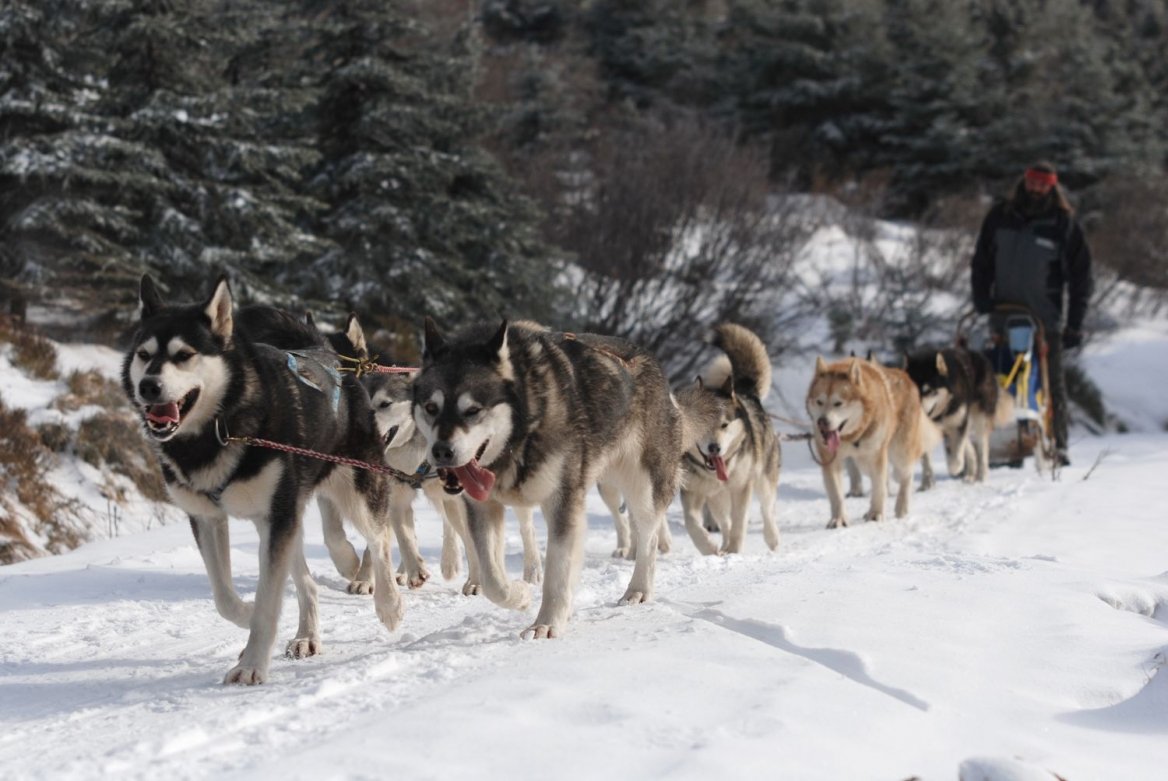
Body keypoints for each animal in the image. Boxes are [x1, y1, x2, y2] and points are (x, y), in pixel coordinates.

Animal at [123, 275, 406, 681]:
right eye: (144, 355)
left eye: (184, 355)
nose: (148, 386)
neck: (221, 428)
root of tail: (331, 358)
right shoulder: (209, 519)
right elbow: (224, 596)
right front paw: (245, 617)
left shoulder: (279, 518)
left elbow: (269, 600)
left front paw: (252, 664)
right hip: (279, 520)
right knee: (307, 582)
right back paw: (307, 636)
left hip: (353, 490)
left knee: (379, 539)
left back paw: (388, 604)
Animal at [415, 319, 696, 635]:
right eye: (430, 408)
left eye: (473, 410)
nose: (441, 452)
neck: (522, 434)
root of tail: (652, 362)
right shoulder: (482, 507)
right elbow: (491, 579)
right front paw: (521, 596)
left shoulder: (564, 502)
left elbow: (558, 571)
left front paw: (546, 624)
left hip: (643, 486)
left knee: (649, 536)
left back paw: (638, 589)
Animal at [682, 322, 780, 553]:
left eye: (724, 425)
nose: (714, 448)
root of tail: (745, 392)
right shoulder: (693, 492)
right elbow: (693, 524)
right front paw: (709, 547)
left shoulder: (741, 487)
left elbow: (739, 523)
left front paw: (735, 552)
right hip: (715, 498)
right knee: (723, 521)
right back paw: (723, 547)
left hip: (763, 479)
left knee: (767, 509)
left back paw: (772, 539)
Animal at [803, 357, 939, 527]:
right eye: (819, 402)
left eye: (838, 403)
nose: (822, 422)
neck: (853, 436)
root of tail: (907, 378)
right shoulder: (831, 461)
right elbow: (836, 494)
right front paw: (839, 519)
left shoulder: (877, 456)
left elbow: (879, 488)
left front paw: (876, 514)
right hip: (864, 463)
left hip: (899, 454)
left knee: (906, 475)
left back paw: (902, 507)